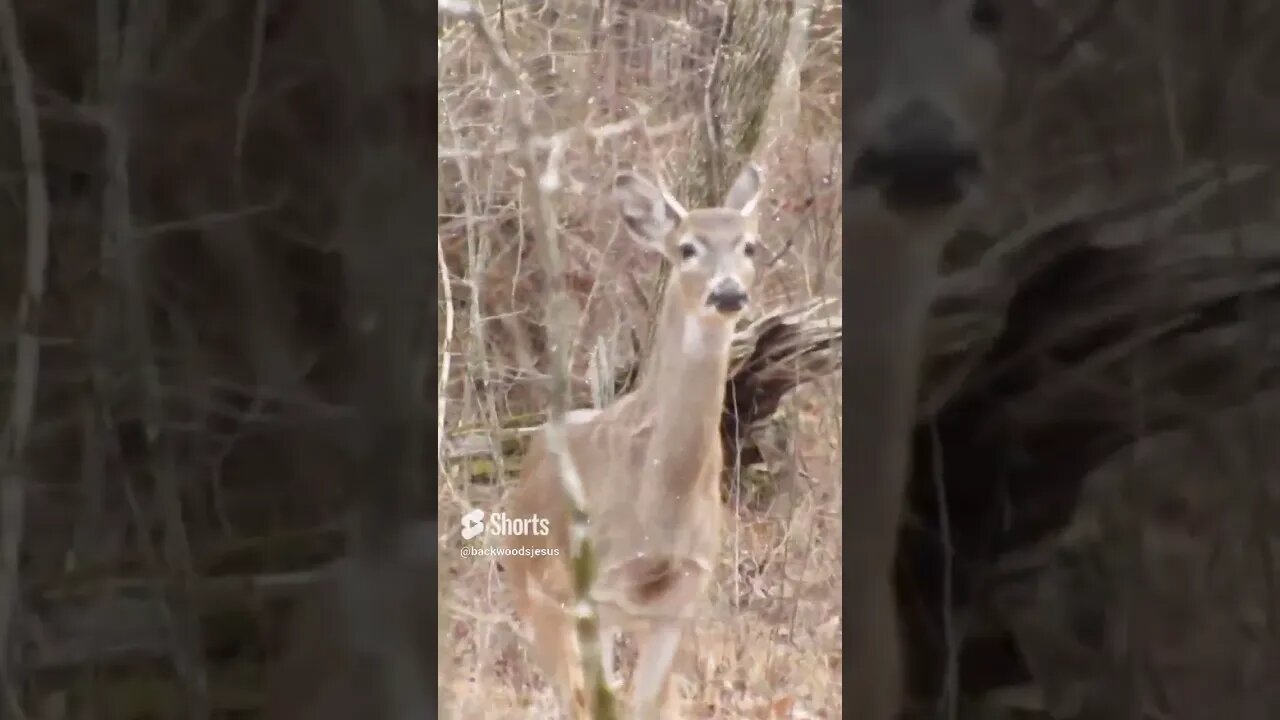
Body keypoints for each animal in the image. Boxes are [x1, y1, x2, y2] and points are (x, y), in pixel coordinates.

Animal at [501, 161, 766, 719]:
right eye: (687, 248)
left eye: (750, 245)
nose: (728, 293)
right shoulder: (592, 595)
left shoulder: (680, 602)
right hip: (532, 593)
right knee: (570, 695)